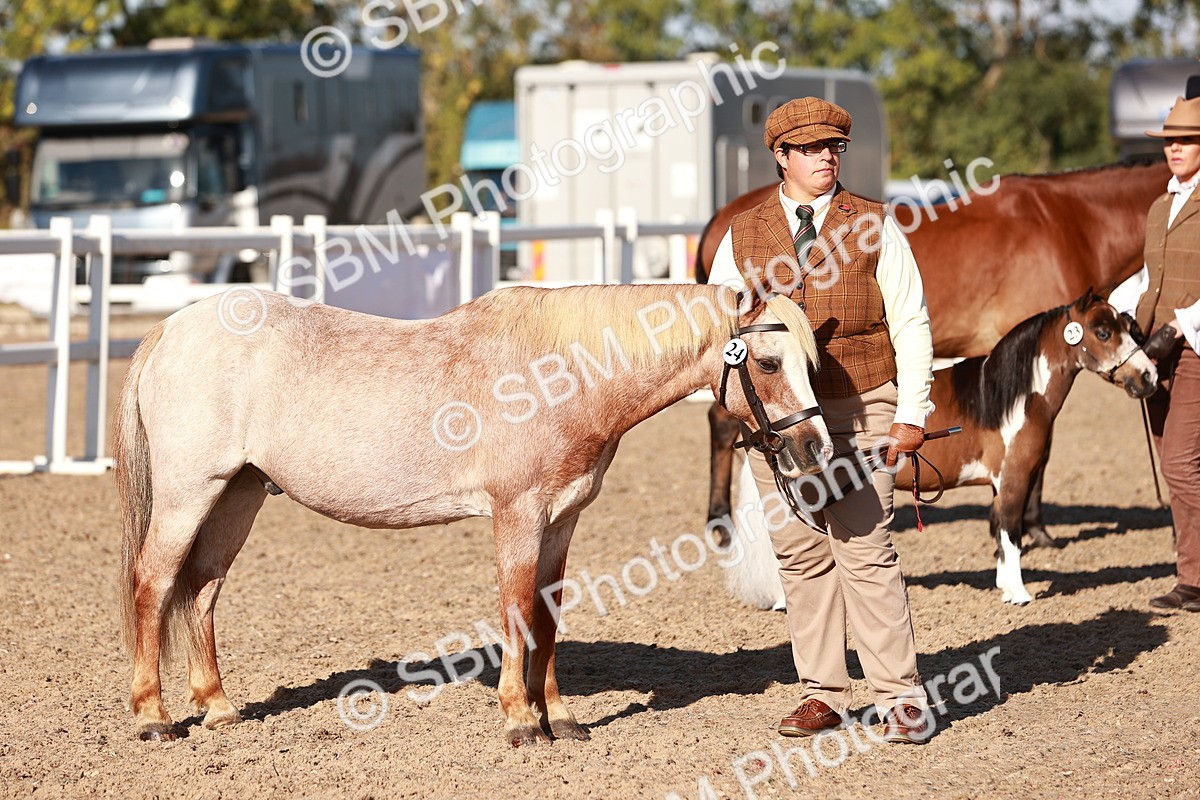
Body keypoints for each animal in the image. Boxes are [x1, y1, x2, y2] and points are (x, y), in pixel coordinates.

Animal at [115, 283, 834, 746]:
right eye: (769, 362)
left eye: (811, 363)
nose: (815, 449)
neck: (558, 373)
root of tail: (170, 328)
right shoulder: (517, 513)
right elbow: (515, 608)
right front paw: (519, 721)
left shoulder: (562, 518)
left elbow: (547, 616)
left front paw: (559, 718)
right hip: (188, 493)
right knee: (153, 585)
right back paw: (152, 717)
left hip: (236, 494)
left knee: (202, 590)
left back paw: (218, 708)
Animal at [701, 160, 1170, 547]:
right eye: (1104, 331)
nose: (1148, 376)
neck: (1068, 224)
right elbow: (1042, 445)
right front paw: (1033, 529)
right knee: (722, 425)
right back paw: (719, 523)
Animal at [723, 290, 1157, 608]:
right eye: (1103, 333)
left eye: (1127, 327)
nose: (1149, 376)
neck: (1010, 397)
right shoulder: (1014, 479)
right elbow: (1012, 532)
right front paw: (1019, 594)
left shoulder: (1000, 484)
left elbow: (999, 533)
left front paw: (1004, 586)